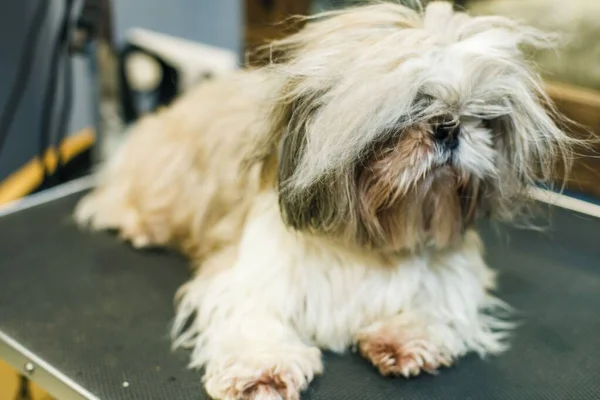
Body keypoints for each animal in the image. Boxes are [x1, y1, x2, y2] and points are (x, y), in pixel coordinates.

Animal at [75, 1, 572, 398]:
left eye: (479, 117)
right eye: (410, 112)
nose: (448, 127)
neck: (372, 240)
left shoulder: (449, 273)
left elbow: (435, 303)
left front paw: (404, 338)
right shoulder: (254, 273)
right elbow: (252, 317)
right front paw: (263, 367)